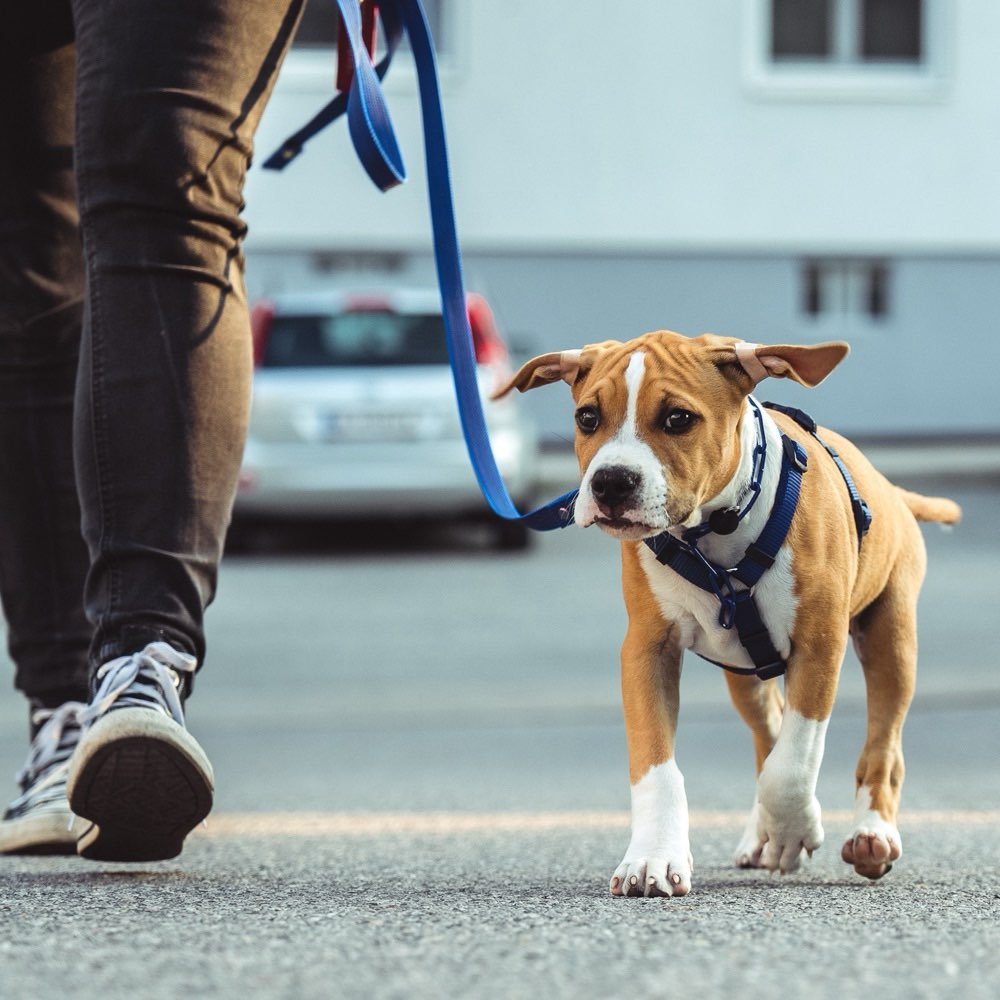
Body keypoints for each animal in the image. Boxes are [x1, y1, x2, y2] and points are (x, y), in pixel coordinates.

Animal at [492, 330, 960, 900]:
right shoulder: (647, 649)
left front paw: (794, 829)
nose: (610, 482)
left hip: (890, 637)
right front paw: (654, 856)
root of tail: (890, 489)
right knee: (769, 730)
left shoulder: (819, 644)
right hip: (746, 677)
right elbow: (657, 766)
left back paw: (872, 834)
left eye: (678, 419)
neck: (714, 534)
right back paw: (765, 833)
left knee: (882, 746)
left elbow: (794, 761)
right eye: (587, 418)